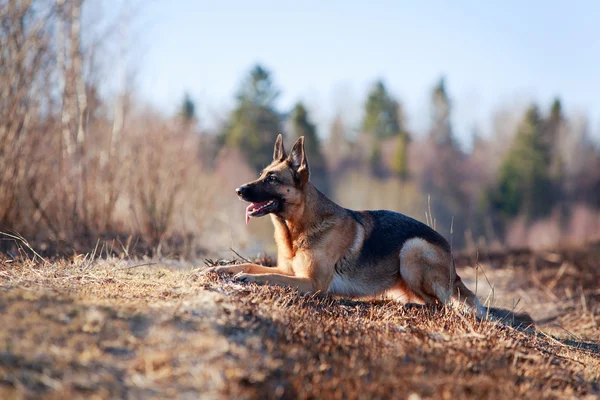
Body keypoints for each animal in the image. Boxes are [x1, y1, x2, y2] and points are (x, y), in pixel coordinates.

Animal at [205, 136, 528, 324]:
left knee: (439, 305)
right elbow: (252, 265)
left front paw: (247, 278)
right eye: (261, 174)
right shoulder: (291, 271)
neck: (298, 229)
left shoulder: (311, 283)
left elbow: (268, 276)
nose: (238, 190)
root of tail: (451, 260)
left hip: (413, 248)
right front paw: (220, 269)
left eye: (272, 179)